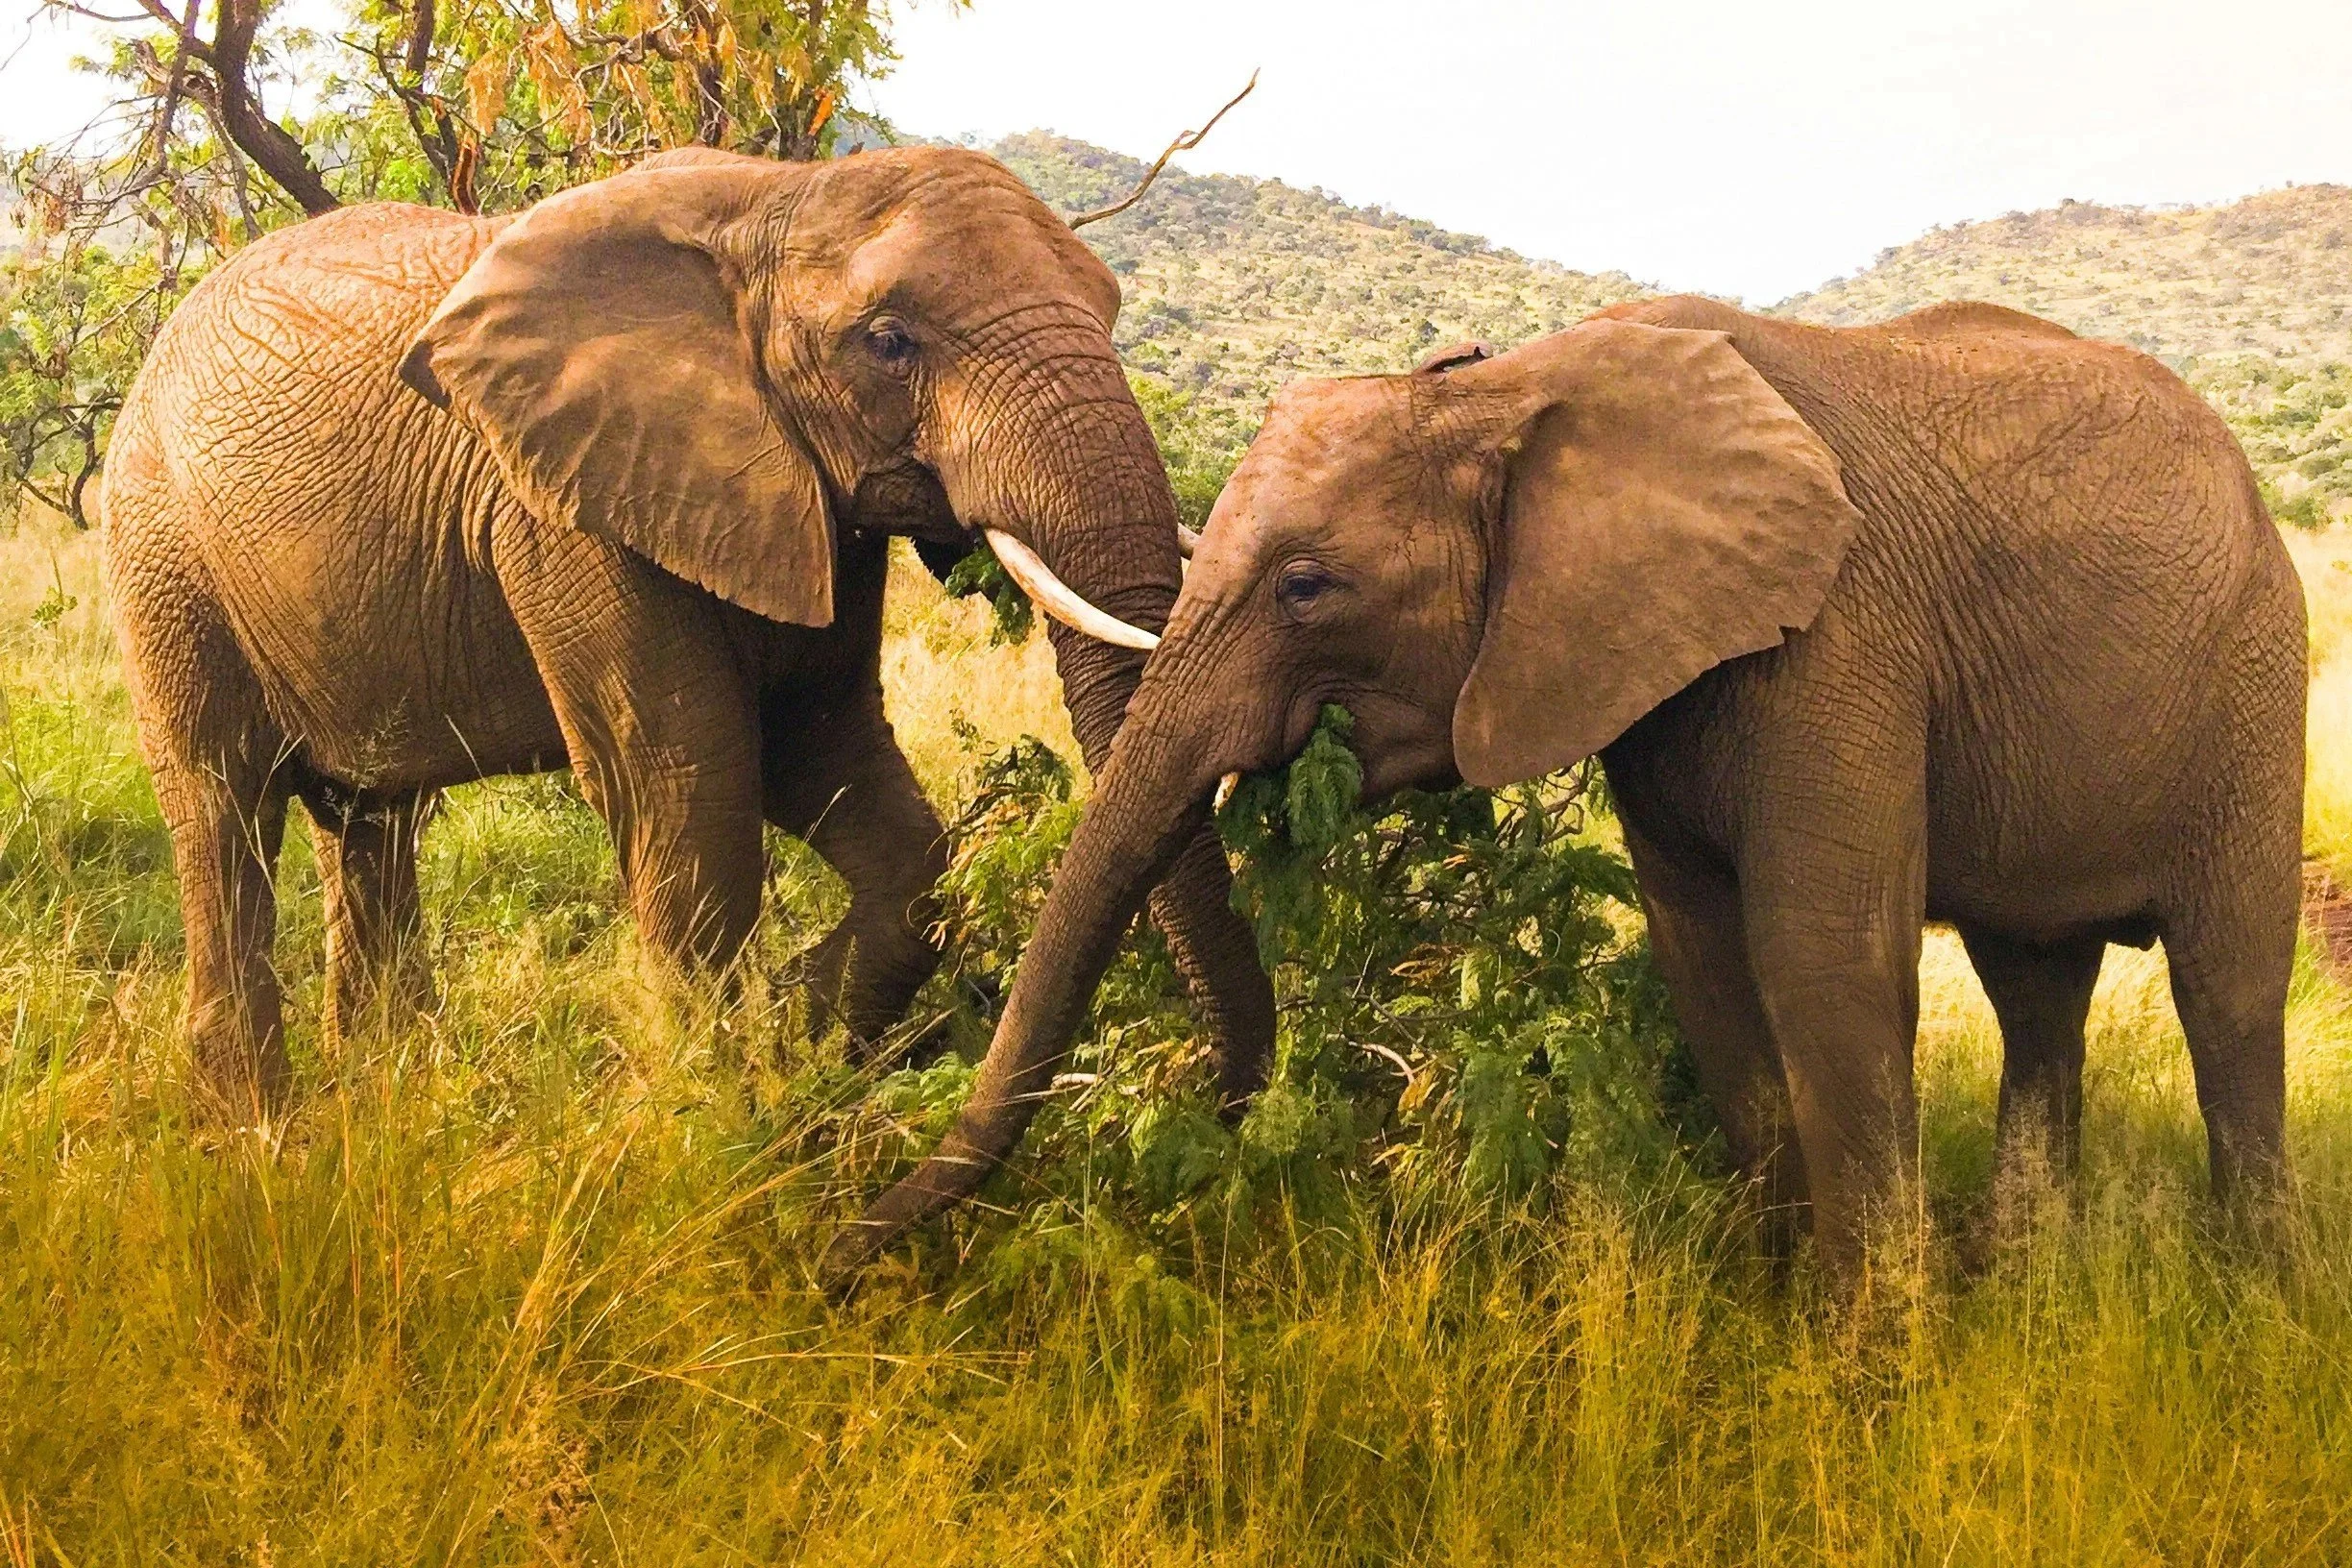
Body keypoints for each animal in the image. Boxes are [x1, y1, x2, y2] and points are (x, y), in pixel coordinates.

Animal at [101, 145, 1274, 1122]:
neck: (775, 195)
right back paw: (258, 1132)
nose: (1217, 1096)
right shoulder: (562, 513)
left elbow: (846, 779)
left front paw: (800, 1032)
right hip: (162, 550)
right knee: (221, 800)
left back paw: (394, 1092)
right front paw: (727, 1126)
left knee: (371, 817)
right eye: (889, 342)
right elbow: (683, 787)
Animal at [828, 294, 2305, 1282]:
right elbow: (1707, 963)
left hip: (2256, 682)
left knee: (2227, 991)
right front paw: (1772, 1313)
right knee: (2036, 989)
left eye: (1308, 586)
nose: (836, 1254)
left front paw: (1863, 1374)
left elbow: (1824, 960)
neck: (1515, 389)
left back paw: (2251, 1304)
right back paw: (2030, 1280)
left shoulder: (1845, 633)